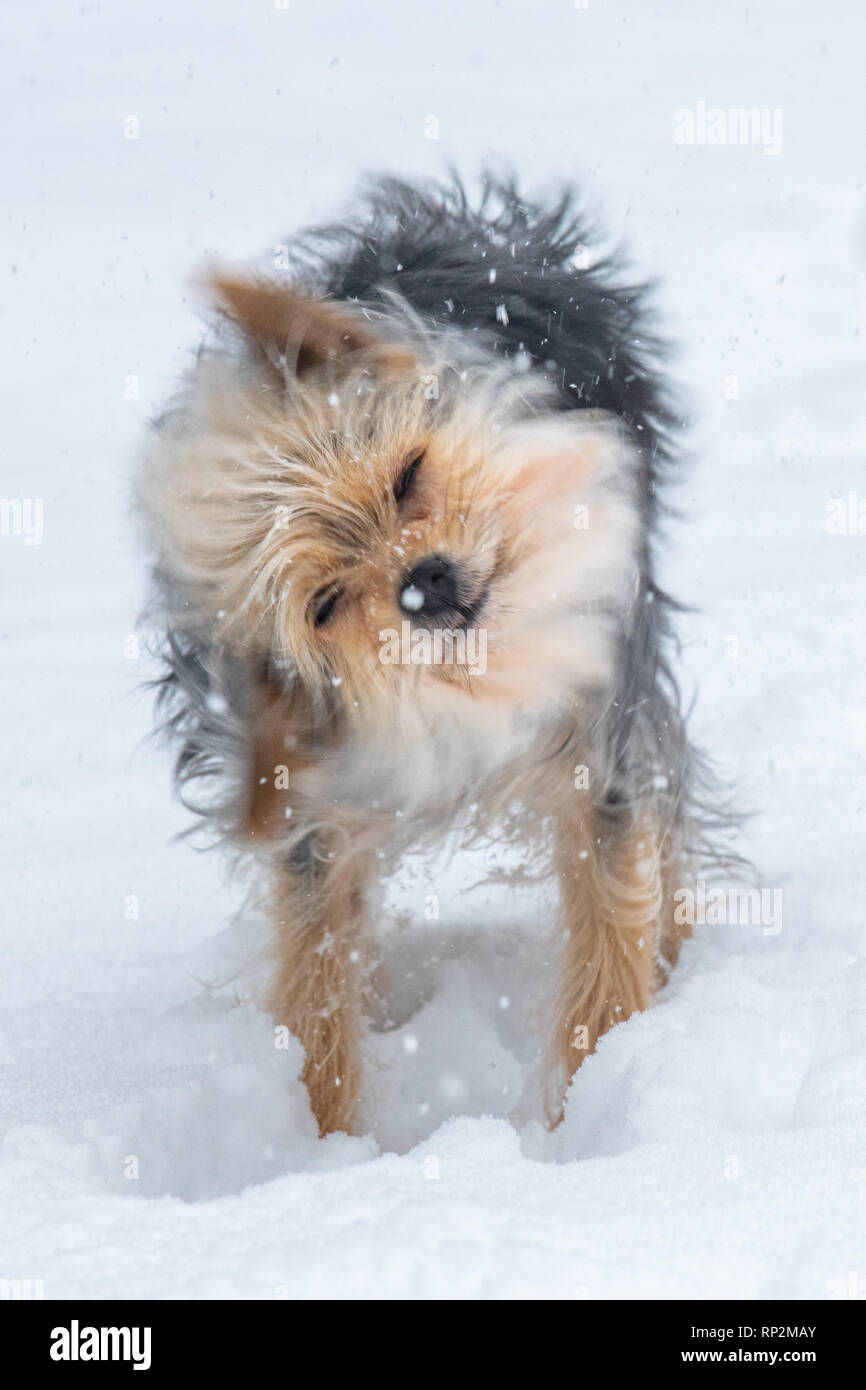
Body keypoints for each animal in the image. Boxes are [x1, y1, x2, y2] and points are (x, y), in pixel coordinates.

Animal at [136, 173, 717, 1134]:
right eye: (325, 604)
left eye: (408, 476)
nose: (428, 583)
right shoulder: (309, 823)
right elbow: (316, 988)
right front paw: (327, 1147)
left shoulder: (601, 746)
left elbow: (608, 938)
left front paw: (591, 1114)